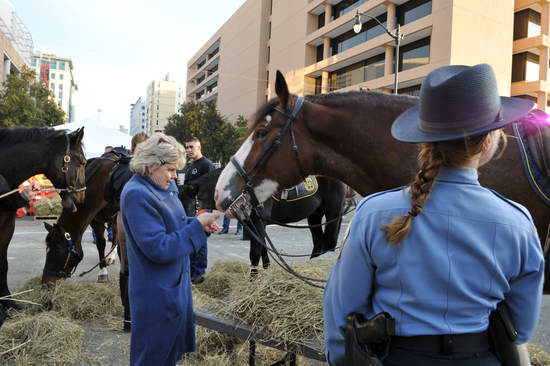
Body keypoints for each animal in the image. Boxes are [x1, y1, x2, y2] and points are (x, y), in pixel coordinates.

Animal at [180, 169, 344, 272]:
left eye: (188, 206)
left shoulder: (258, 223)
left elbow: (255, 254)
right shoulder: (255, 224)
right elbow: (264, 251)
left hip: (332, 216)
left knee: (329, 245)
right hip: (314, 216)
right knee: (318, 245)